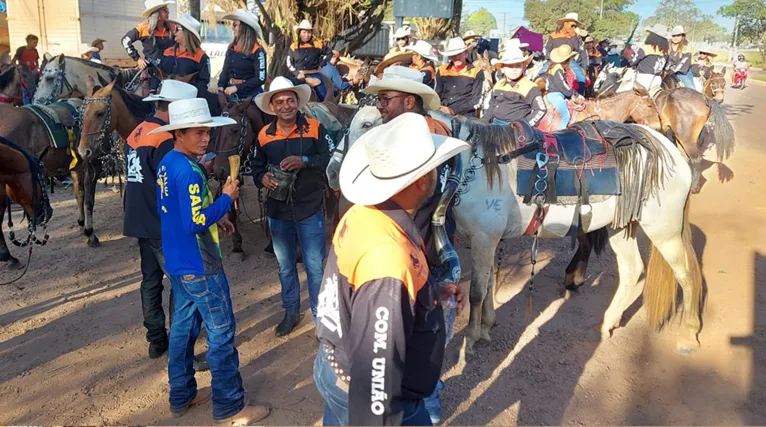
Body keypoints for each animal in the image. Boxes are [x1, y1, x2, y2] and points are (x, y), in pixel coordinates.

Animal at [328, 107, 704, 358]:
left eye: (368, 127)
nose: (333, 174)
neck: (476, 165)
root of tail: (668, 148)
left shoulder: (483, 240)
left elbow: (477, 291)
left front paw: (472, 338)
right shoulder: (489, 241)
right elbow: (489, 284)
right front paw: (488, 325)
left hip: (663, 229)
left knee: (686, 274)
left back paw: (689, 335)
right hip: (620, 227)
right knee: (632, 272)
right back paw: (608, 323)